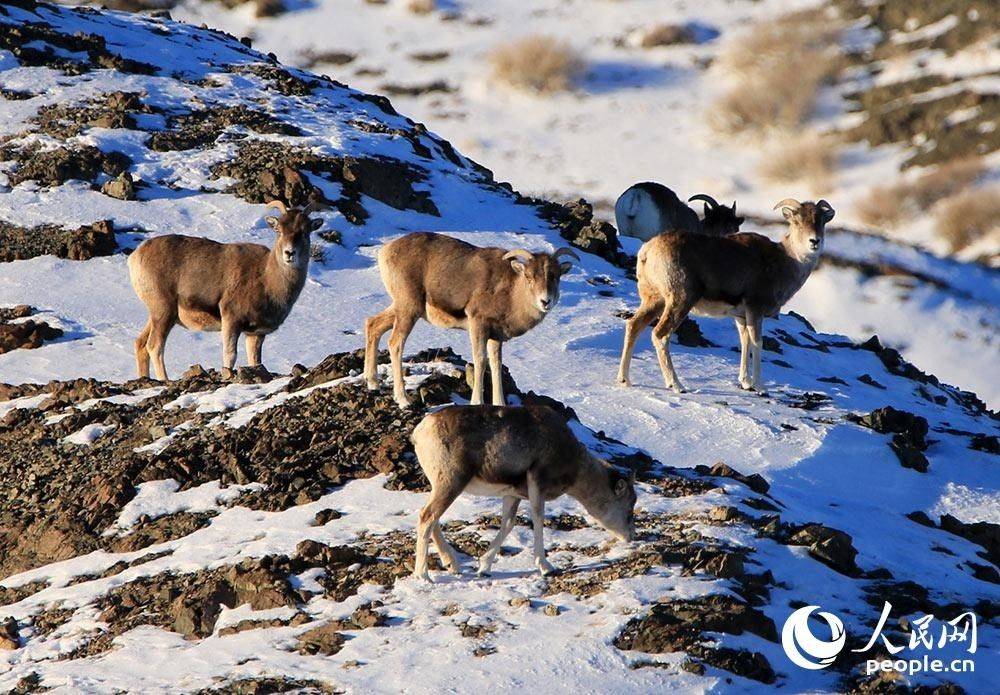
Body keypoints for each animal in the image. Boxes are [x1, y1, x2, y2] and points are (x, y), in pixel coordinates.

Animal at [127, 198, 318, 384]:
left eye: (305, 231)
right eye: (279, 230)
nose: (289, 253)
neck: (266, 278)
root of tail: (135, 256)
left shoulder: (255, 334)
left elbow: (255, 361)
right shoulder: (231, 321)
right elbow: (230, 355)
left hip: (158, 315)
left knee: (141, 344)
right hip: (164, 312)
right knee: (154, 346)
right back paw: (165, 380)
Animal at [410, 406, 636, 580]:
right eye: (629, 505)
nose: (631, 536)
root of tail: (419, 432)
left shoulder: (513, 495)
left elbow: (508, 524)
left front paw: (485, 567)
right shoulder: (537, 484)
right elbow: (538, 518)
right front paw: (546, 568)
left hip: (443, 487)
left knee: (430, 517)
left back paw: (452, 565)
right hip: (451, 484)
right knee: (427, 517)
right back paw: (424, 576)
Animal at [616, 198, 836, 394]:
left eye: (821, 221)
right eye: (797, 220)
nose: (814, 242)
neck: (786, 261)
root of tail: (647, 251)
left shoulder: (741, 317)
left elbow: (744, 342)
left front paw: (746, 383)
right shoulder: (755, 310)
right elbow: (757, 343)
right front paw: (760, 388)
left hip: (655, 301)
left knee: (634, 326)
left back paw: (624, 380)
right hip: (680, 302)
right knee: (660, 335)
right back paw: (677, 385)